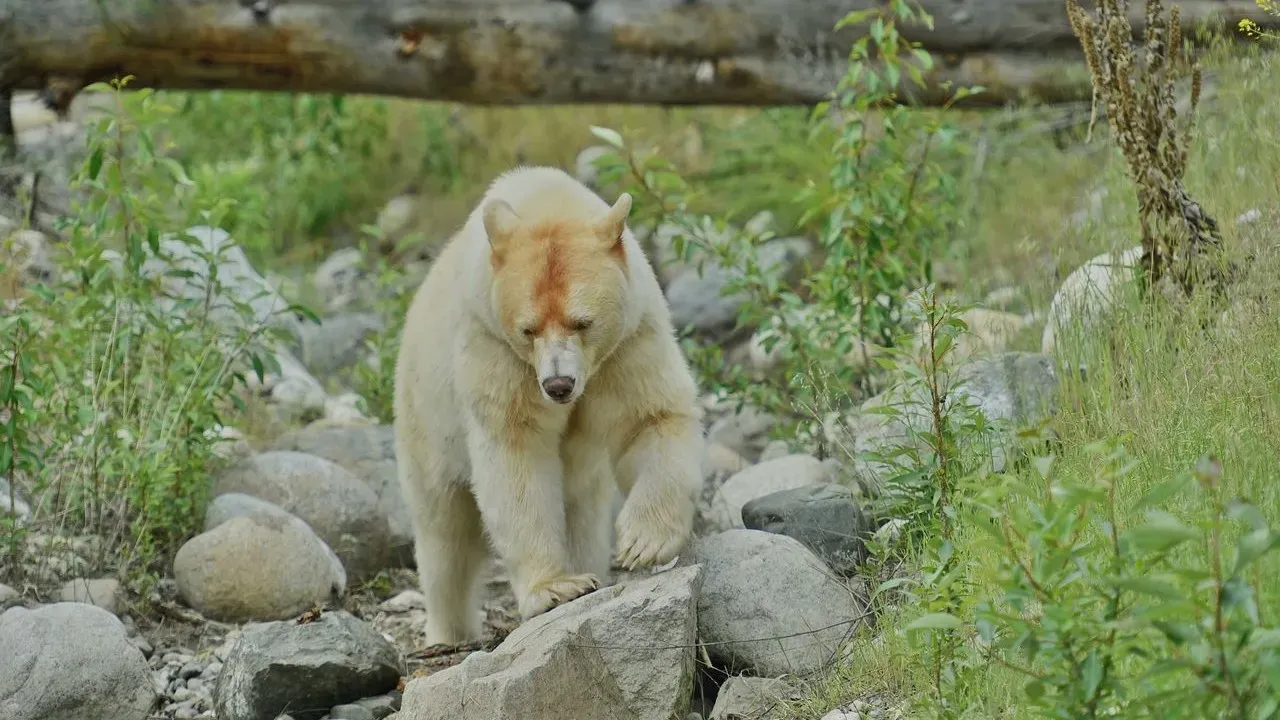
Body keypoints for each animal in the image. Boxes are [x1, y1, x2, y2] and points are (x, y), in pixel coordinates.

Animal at [393, 165, 706, 645]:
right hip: (425, 416)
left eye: (583, 322)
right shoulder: (494, 349)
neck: (542, 197)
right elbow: (515, 453)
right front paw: (556, 587)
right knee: (445, 533)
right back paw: (450, 630)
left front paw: (643, 542)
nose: (559, 384)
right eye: (528, 329)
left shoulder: (629, 342)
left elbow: (649, 417)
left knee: (582, 513)